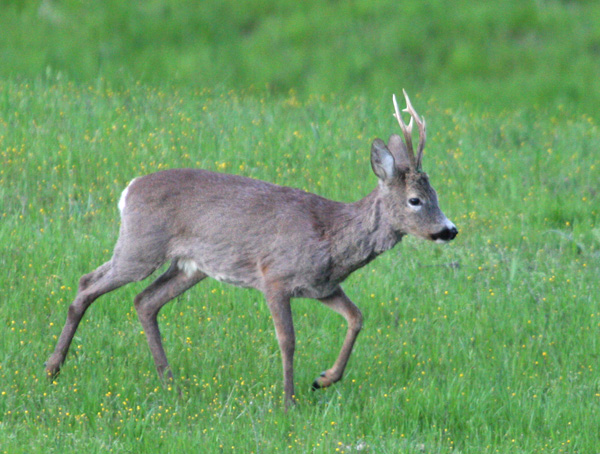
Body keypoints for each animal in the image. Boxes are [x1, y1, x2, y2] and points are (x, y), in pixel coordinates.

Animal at [47, 90, 458, 406]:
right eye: (415, 200)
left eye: (436, 194)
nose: (449, 230)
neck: (331, 237)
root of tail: (128, 189)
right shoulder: (274, 276)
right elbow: (287, 340)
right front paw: (289, 401)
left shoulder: (322, 286)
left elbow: (356, 318)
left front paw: (323, 379)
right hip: (140, 247)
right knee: (87, 284)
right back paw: (54, 367)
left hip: (189, 267)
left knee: (144, 301)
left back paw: (170, 383)